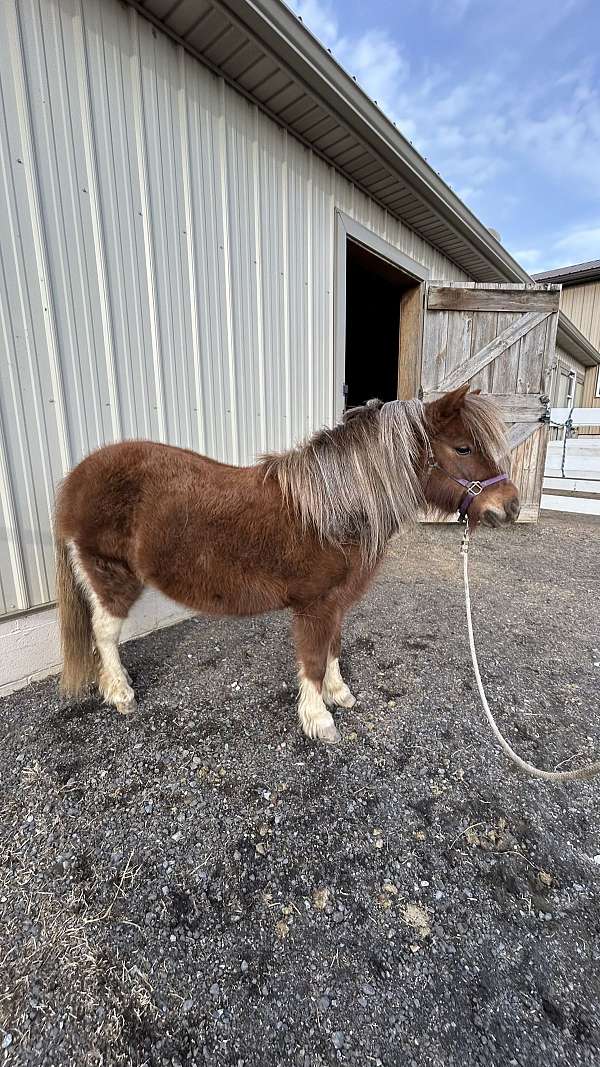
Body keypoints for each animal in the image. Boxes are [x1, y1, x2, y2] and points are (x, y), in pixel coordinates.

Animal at [53, 384, 516, 742]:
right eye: (463, 447)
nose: (510, 506)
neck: (334, 511)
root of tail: (78, 477)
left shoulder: (335, 604)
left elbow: (333, 648)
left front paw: (337, 693)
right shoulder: (315, 606)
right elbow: (312, 659)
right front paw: (319, 720)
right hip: (110, 574)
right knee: (104, 632)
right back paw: (120, 694)